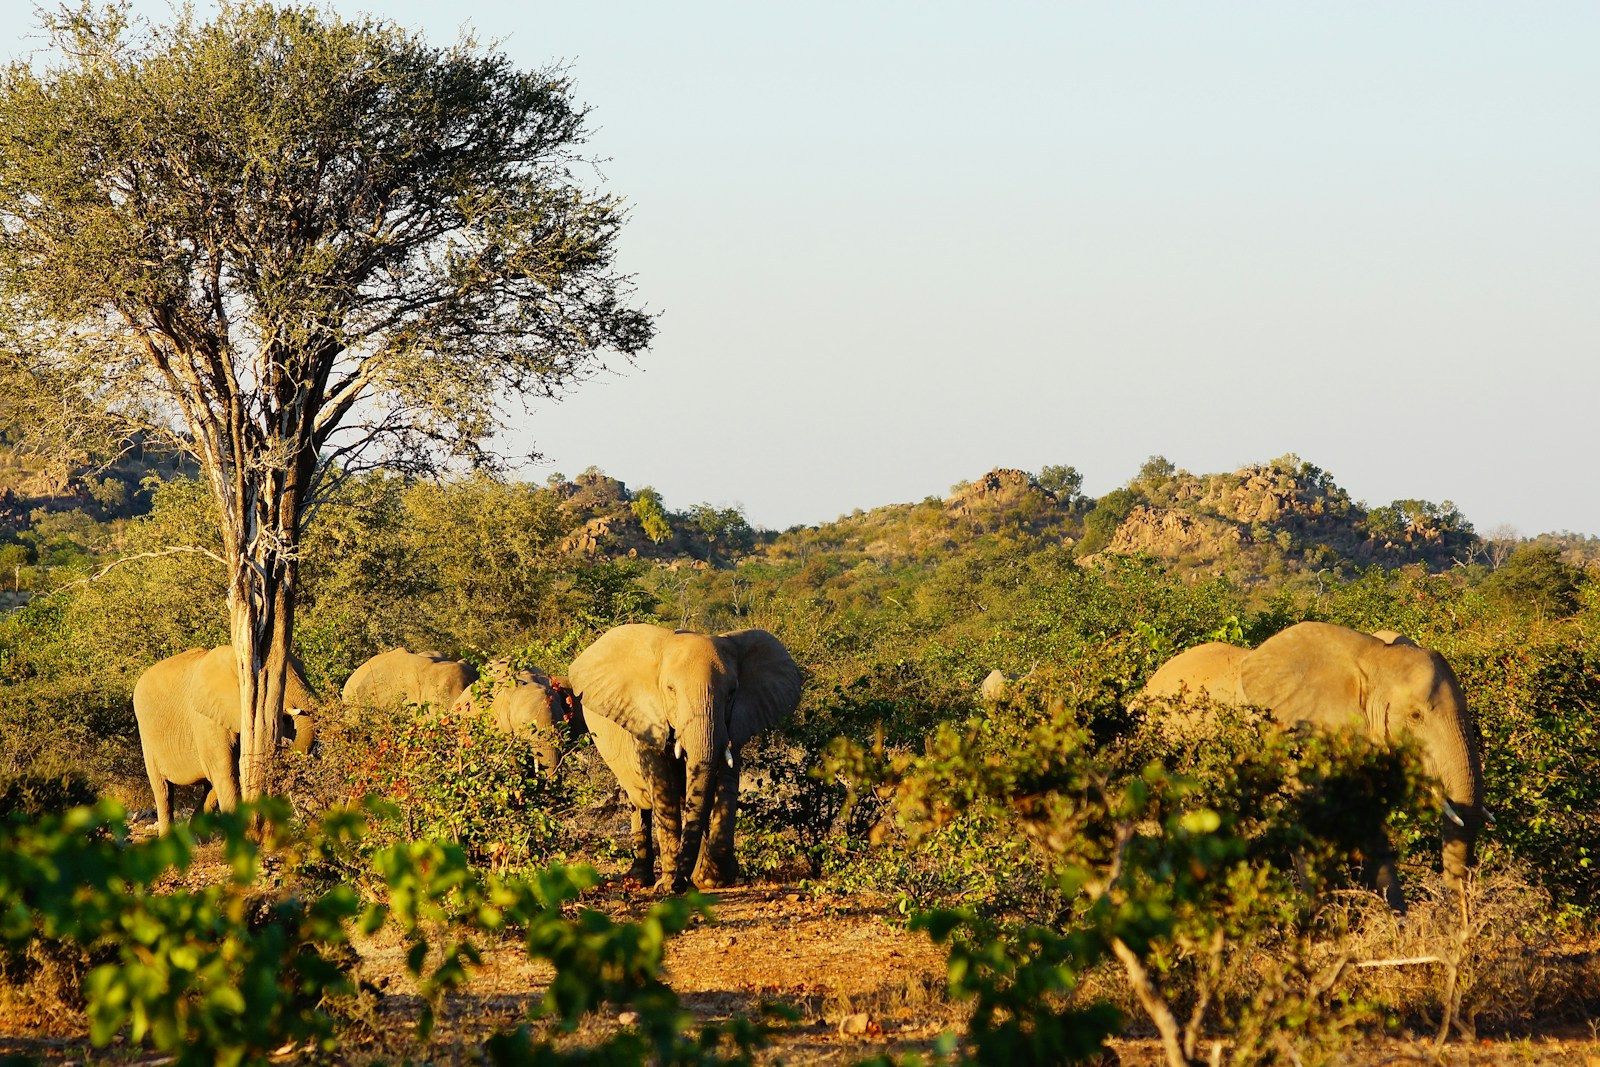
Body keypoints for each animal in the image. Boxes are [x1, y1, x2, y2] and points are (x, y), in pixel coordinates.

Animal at [568, 624, 803, 892]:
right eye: (670, 690)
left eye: (732, 693)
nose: (679, 885)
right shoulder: (647, 719)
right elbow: (665, 789)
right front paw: (669, 884)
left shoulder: (735, 722)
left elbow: (726, 781)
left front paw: (711, 879)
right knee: (640, 804)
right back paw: (639, 880)